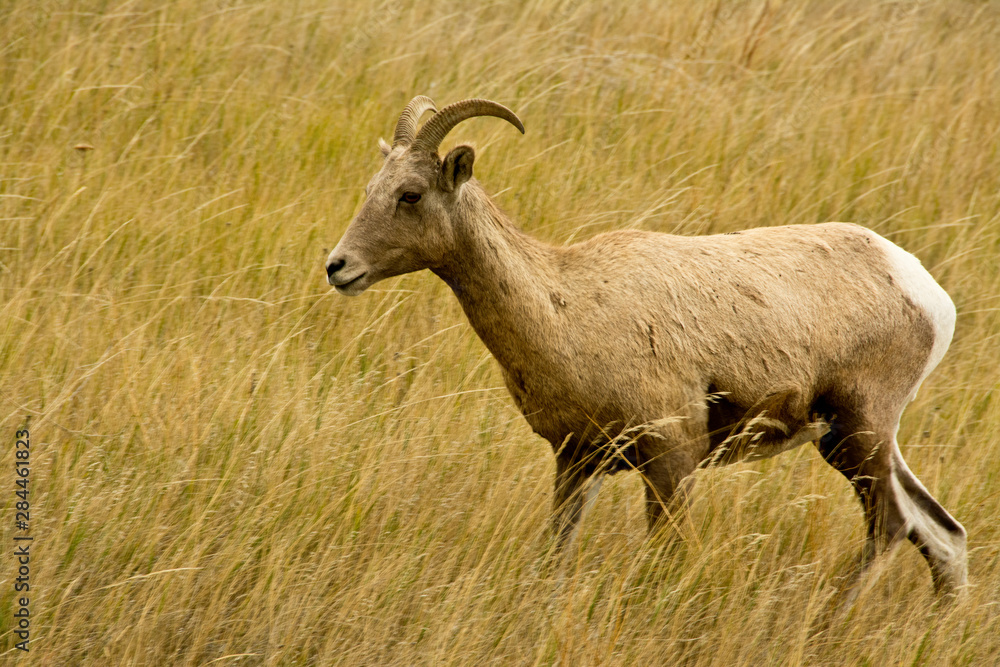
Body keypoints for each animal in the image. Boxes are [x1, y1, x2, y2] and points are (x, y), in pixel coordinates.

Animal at [325, 96, 968, 596]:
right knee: (943, 535)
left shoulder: (671, 462)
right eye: (371, 188)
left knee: (891, 526)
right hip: (856, 442)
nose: (338, 267)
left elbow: (667, 560)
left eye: (410, 194)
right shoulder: (576, 461)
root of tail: (925, 290)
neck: (565, 308)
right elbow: (555, 553)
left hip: (860, 432)